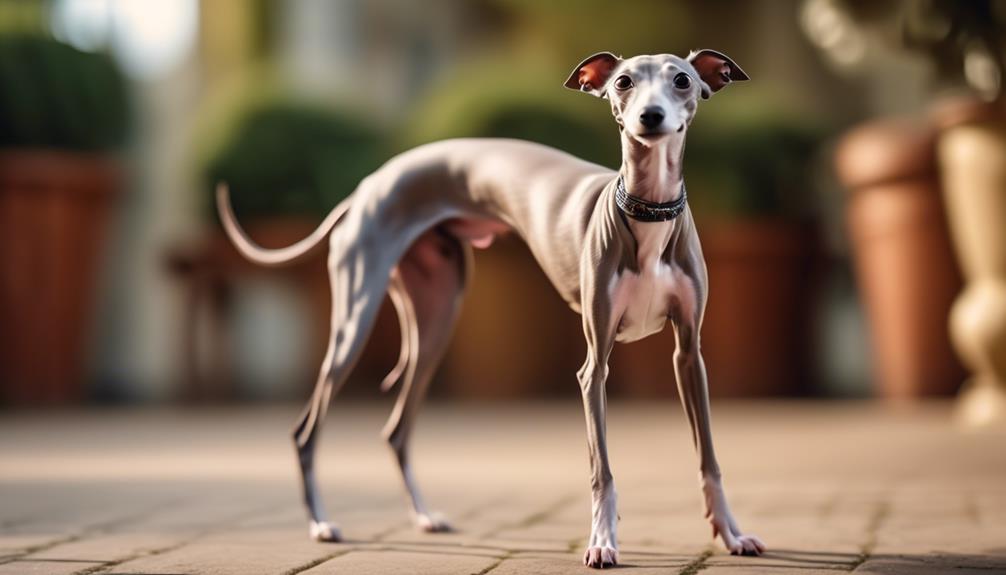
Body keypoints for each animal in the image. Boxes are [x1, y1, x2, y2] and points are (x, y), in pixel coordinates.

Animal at [218, 50, 760, 570]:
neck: (646, 211)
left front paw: (731, 534)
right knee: (306, 430)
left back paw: (424, 517)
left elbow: (709, 458)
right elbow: (601, 469)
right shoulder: (594, 367)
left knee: (397, 430)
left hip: (436, 323)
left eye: (682, 79)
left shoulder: (689, 355)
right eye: (624, 81)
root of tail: (369, 185)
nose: (651, 117)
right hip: (356, 317)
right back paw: (321, 524)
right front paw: (603, 543)